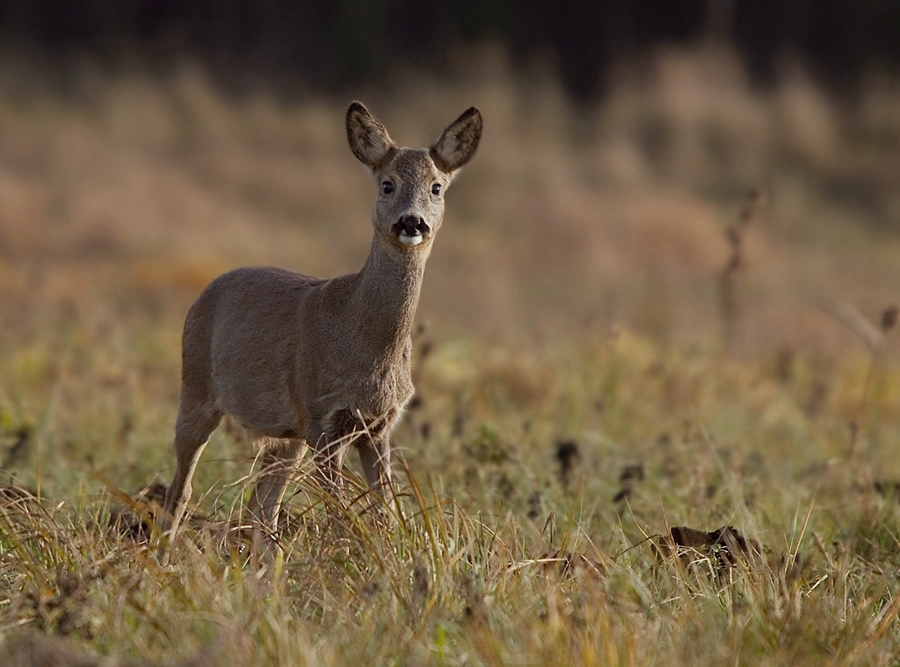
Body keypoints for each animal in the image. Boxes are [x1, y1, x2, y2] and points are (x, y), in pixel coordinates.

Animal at [162, 100, 486, 544]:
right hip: (196, 387)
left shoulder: (378, 426)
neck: (363, 340)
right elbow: (342, 514)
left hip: (285, 434)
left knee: (263, 508)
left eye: (436, 187)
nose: (411, 222)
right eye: (387, 184)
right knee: (181, 488)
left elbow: (385, 511)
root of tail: (202, 295)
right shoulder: (321, 415)